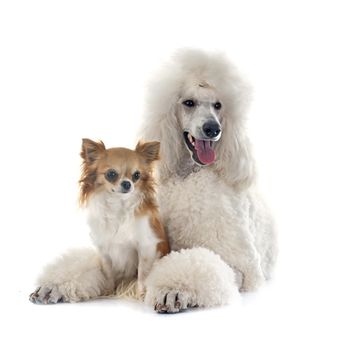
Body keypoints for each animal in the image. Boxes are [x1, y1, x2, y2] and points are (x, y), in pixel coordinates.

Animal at [29, 48, 276, 312]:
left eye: (218, 105)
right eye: (189, 103)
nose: (213, 129)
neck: (189, 175)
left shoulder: (242, 268)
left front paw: (174, 289)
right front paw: (55, 285)